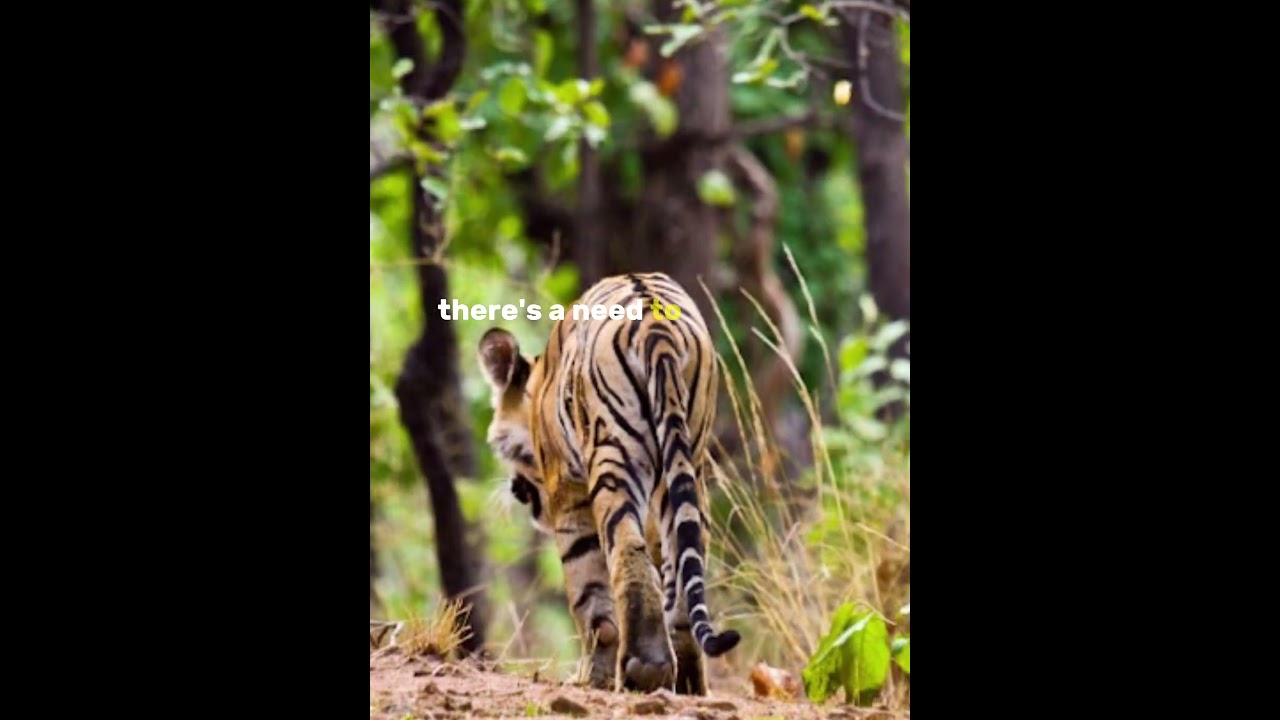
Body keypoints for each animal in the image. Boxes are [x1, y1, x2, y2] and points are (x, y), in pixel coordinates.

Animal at [478, 272, 739, 695]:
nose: (515, 489)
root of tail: (656, 326)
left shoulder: (567, 490)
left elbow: (589, 592)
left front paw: (591, 677)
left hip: (614, 458)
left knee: (627, 550)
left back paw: (642, 669)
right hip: (687, 461)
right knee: (683, 562)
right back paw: (688, 682)